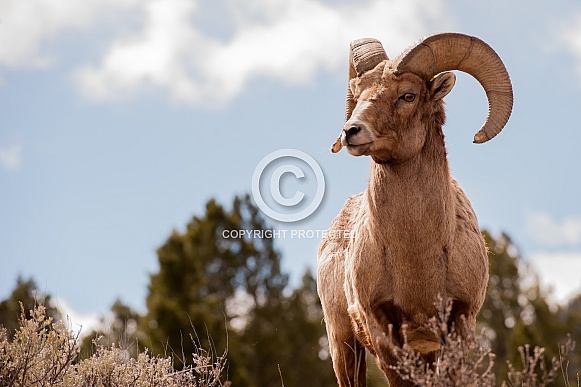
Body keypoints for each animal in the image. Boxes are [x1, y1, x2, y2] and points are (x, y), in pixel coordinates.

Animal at [318, 31, 512, 386]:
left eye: (408, 95)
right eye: (357, 92)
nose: (350, 132)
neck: (418, 261)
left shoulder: (458, 323)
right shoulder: (383, 329)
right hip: (343, 343)